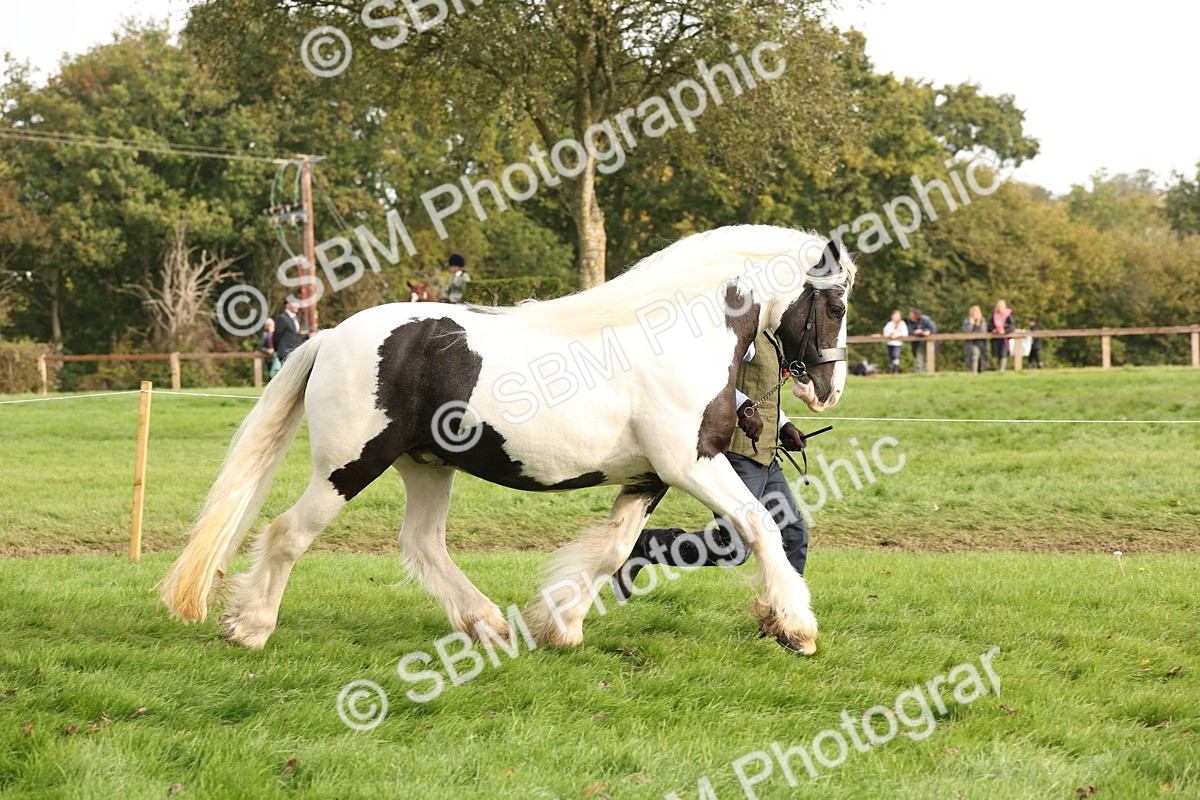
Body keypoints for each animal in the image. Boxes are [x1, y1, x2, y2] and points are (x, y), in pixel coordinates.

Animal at [160, 224, 856, 655]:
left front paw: (562, 627)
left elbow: (612, 550)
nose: (828, 391)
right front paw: (798, 629)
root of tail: (330, 336)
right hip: (350, 465)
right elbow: (761, 527)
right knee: (287, 534)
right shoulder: (693, 464)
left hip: (426, 465)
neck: (677, 336)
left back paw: (489, 623)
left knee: (422, 544)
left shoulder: (650, 476)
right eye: (837, 305)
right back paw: (251, 628)